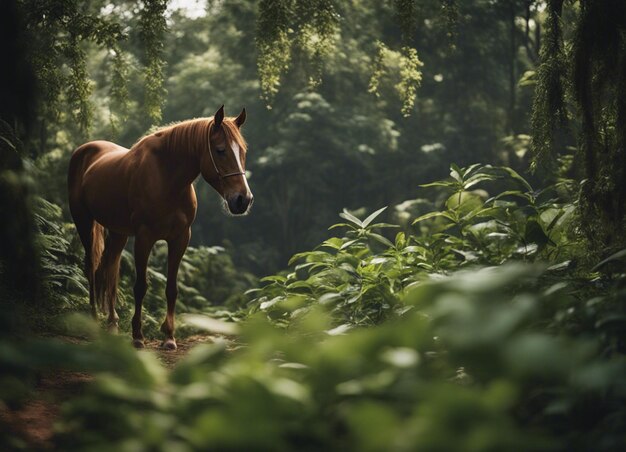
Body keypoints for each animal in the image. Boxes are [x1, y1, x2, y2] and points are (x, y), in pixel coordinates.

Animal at [69, 105, 251, 350]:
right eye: (221, 150)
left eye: (243, 151)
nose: (243, 200)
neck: (167, 178)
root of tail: (84, 151)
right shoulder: (144, 238)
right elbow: (140, 286)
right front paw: (137, 336)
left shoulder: (180, 238)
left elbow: (171, 289)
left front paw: (169, 337)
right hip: (84, 223)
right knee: (91, 268)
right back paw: (95, 322)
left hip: (118, 233)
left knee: (109, 270)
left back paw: (113, 325)